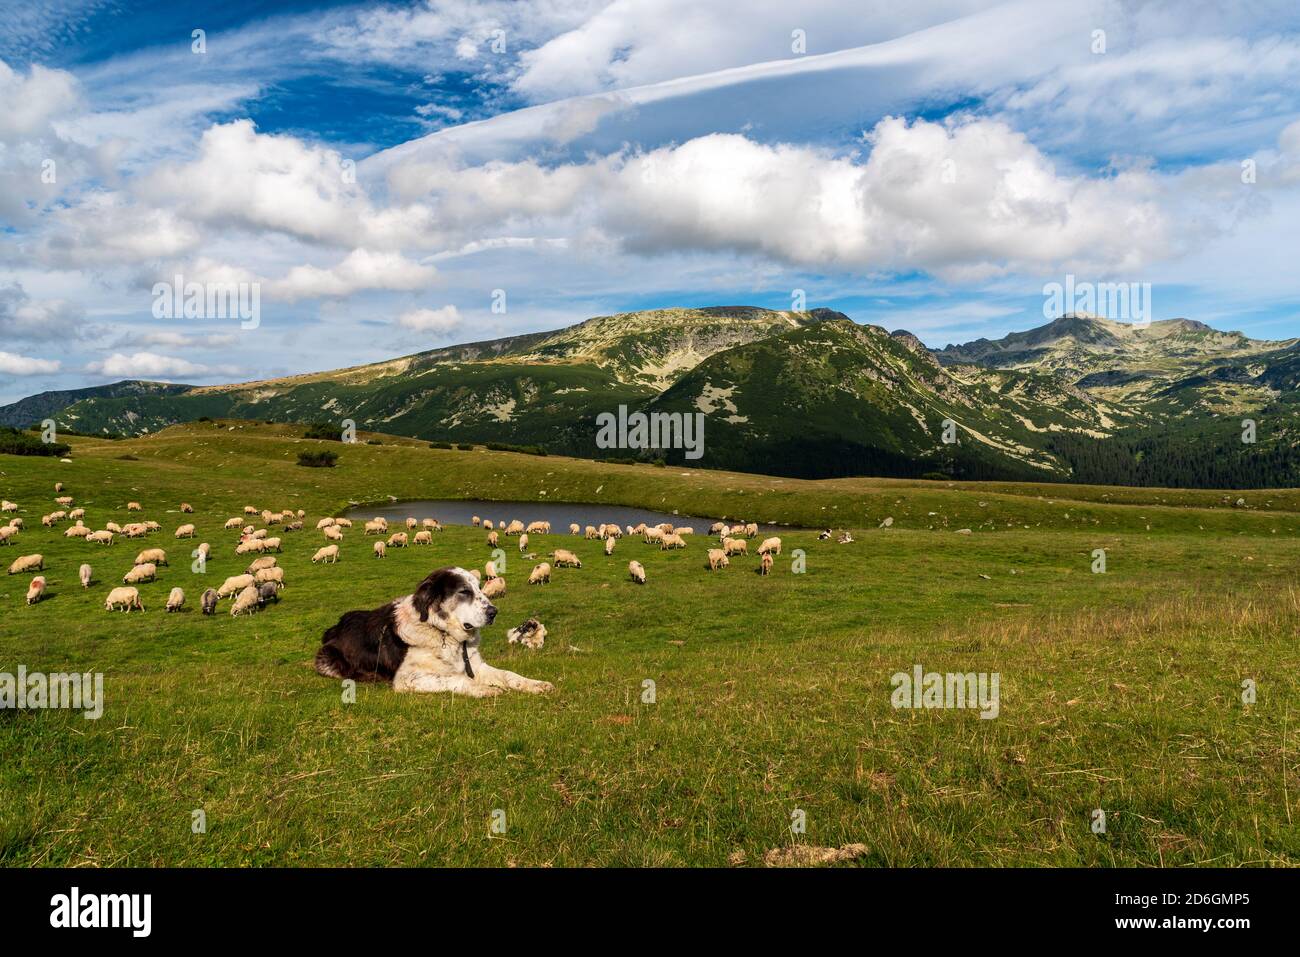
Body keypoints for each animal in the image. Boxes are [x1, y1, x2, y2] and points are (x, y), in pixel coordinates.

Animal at [319, 564, 559, 696]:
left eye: (479, 588)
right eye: (464, 591)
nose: (494, 612)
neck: (444, 633)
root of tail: (335, 626)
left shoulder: (476, 665)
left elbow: (509, 674)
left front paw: (535, 684)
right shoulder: (409, 678)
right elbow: (457, 679)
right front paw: (483, 689)